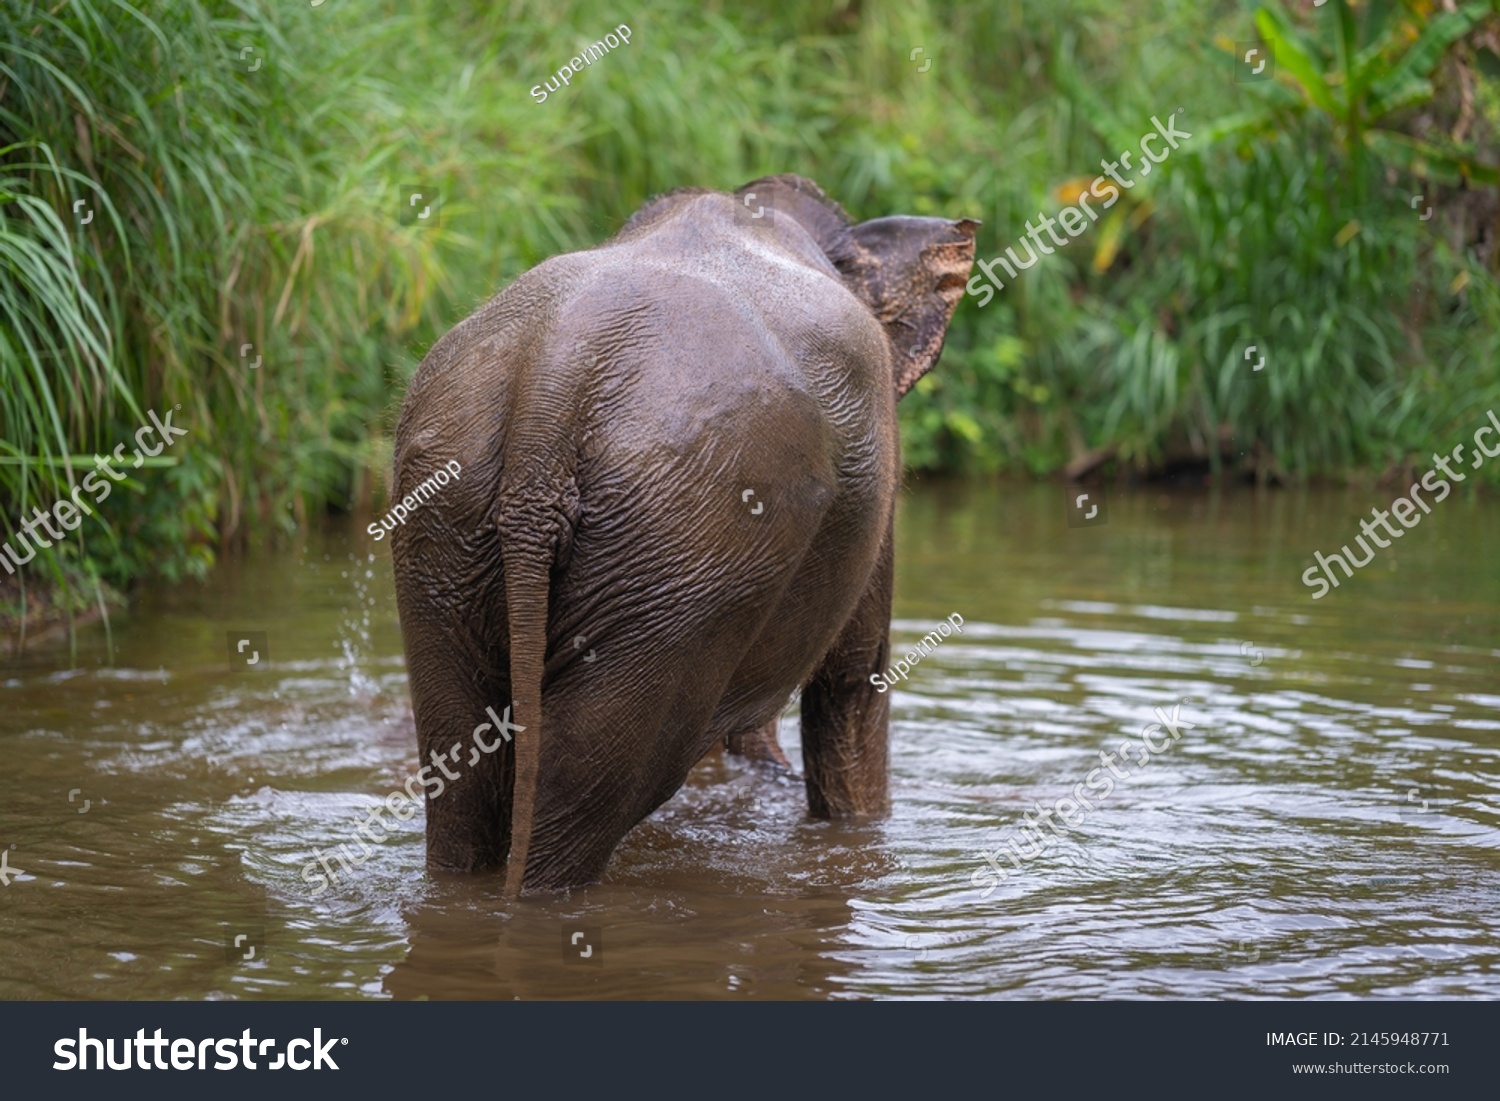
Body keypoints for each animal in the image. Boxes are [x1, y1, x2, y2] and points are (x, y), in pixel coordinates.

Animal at [390, 174, 972, 900]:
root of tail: (556, 368)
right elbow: (853, 678)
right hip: (683, 550)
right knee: (592, 789)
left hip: (451, 515)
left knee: (464, 768)